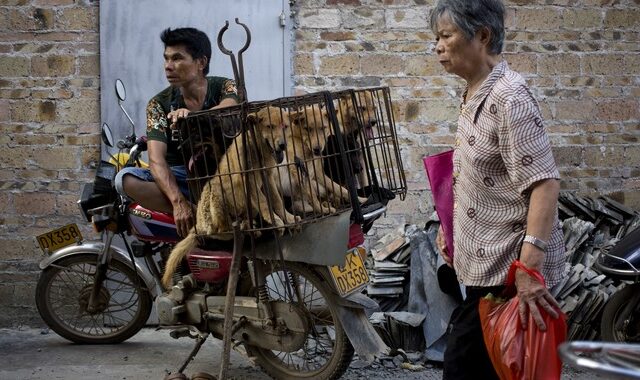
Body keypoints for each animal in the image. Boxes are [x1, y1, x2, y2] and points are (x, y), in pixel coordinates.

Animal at [162, 105, 298, 286]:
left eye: (285, 126)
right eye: (270, 126)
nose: (282, 145)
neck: (257, 147)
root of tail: (198, 226)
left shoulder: (267, 177)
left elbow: (276, 202)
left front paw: (289, 218)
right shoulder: (250, 183)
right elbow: (264, 203)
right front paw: (276, 221)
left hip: (246, 207)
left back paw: (249, 225)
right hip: (215, 196)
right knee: (219, 231)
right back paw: (239, 229)